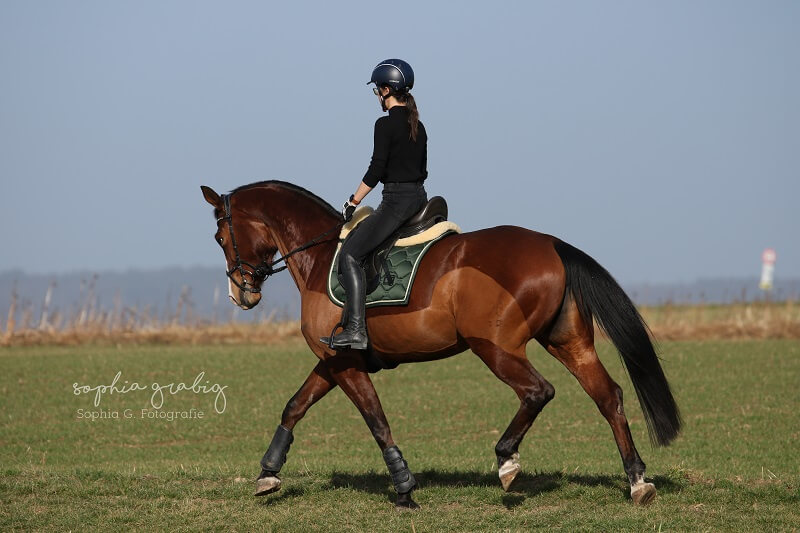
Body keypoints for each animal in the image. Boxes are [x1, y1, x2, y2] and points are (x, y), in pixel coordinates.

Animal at [200, 179, 680, 508]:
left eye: (221, 238)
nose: (241, 295)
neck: (320, 257)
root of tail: (553, 244)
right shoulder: (334, 360)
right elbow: (295, 406)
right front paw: (268, 473)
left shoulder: (344, 362)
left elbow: (376, 421)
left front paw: (404, 489)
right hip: (567, 342)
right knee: (608, 396)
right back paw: (637, 481)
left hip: (496, 348)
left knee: (538, 391)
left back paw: (507, 460)